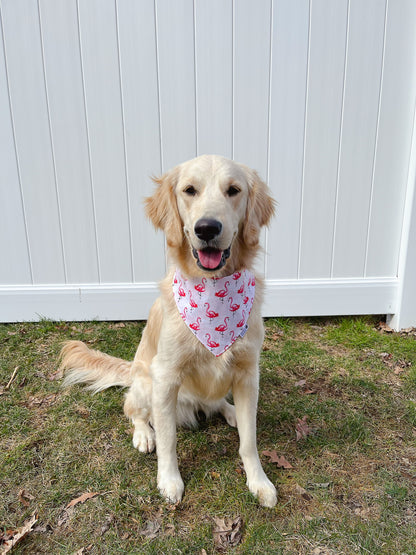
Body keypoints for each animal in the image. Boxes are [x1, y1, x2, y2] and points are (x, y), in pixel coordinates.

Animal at [61, 154, 276, 506]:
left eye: (233, 190)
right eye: (189, 190)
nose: (207, 228)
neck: (212, 291)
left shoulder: (248, 374)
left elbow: (249, 440)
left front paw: (259, 482)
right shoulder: (166, 378)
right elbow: (168, 439)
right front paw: (169, 480)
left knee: (217, 404)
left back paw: (230, 412)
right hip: (144, 382)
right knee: (131, 409)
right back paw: (143, 434)